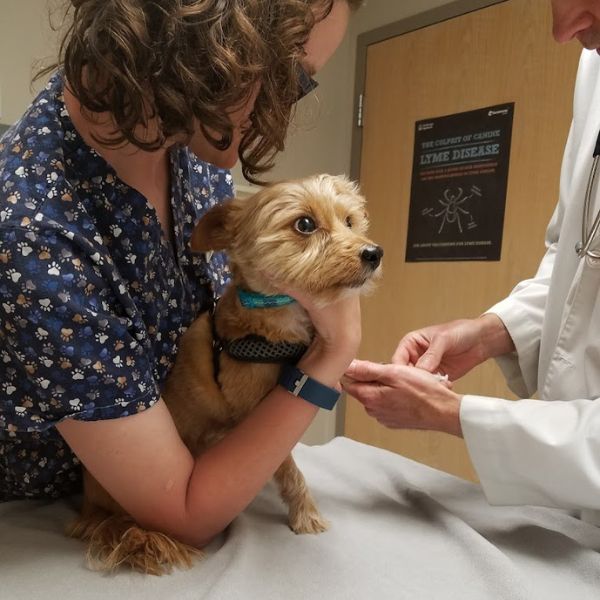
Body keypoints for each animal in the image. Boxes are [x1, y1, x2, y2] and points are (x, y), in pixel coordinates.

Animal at [67, 172, 384, 572]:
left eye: (349, 221)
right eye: (305, 224)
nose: (374, 253)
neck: (276, 319)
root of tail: (89, 507)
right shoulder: (254, 415)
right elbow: (289, 470)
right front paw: (306, 514)